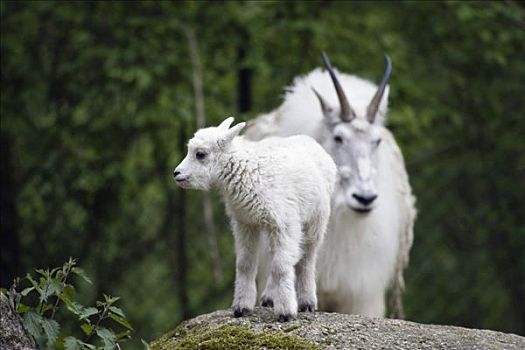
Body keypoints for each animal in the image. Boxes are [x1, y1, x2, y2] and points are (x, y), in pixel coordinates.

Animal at [173, 116, 336, 322]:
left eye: (200, 154)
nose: (176, 173)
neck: (246, 169)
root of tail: (312, 142)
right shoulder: (245, 223)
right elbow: (245, 264)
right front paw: (241, 308)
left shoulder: (285, 223)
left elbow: (281, 266)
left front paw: (286, 312)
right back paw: (269, 297)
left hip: (316, 220)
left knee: (306, 258)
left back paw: (306, 302)